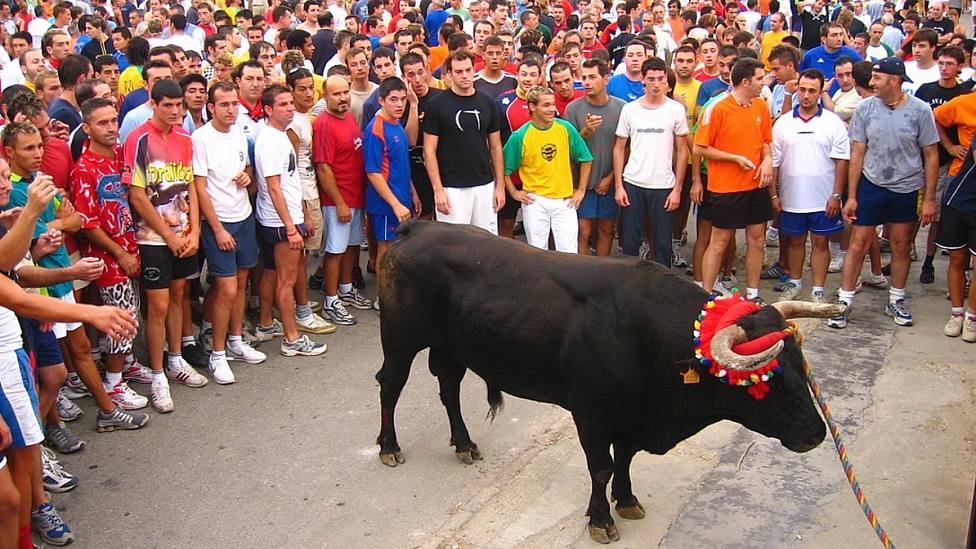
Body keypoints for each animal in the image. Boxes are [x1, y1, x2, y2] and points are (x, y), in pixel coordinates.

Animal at [374, 220, 848, 540]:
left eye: (800, 365)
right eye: (766, 379)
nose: (815, 433)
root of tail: (418, 227)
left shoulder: (631, 416)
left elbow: (625, 459)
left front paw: (629, 500)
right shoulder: (592, 413)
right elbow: (601, 466)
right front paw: (601, 518)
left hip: (451, 345)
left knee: (448, 387)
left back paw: (464, 443)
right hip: (401, 339)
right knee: (391, 384)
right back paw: (390, 447)